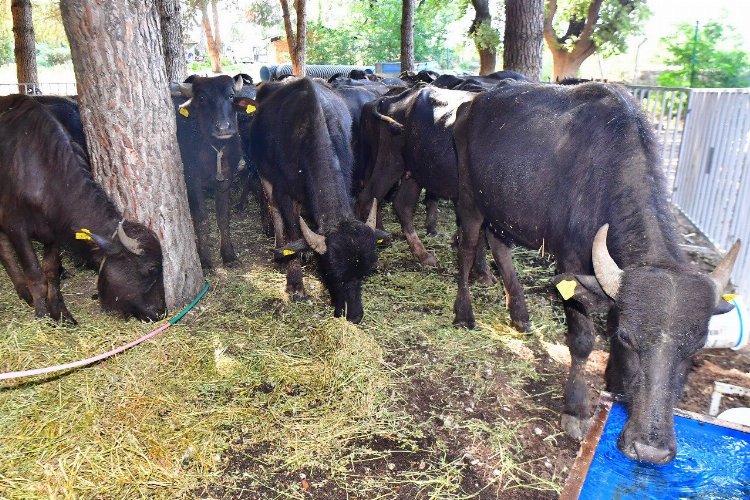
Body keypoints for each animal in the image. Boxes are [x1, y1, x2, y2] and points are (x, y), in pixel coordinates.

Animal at [0, 94, 166, 324]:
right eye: (152, 268)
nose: (160, 311)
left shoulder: (54, 232)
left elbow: (50, 272)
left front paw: (61, 313)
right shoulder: (16, 228)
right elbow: (35, 274)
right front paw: (42, 315)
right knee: (6, 251)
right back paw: (24, 291)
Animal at [170, 73, 250, 268]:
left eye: (231, 96)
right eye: (202, 98)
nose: (223, 127)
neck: (215, 150)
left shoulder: (225, 181)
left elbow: (223, 217)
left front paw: (228, 255)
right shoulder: (192, 180)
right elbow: (201, 218)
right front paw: (205, 258)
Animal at [248, 76, 388, 322]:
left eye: (365, 272)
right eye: (331, 272)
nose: (354, 315)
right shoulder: (284, 193)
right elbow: (293, 232)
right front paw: (295, 285)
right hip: (263, 172)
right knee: (273, 209)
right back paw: (278, 248)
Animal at [452, 79, 740, 464]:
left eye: (696, 350)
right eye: (628, 339)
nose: (650, 450)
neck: (606, 174)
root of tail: (470, 105)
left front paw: (614, 384)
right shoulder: (570, 263)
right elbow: (582, 340)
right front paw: (576, 409)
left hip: (503, 208)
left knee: (499, 246)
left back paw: (520, 314)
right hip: (468, 198)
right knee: (467, 247)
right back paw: (463, 313)